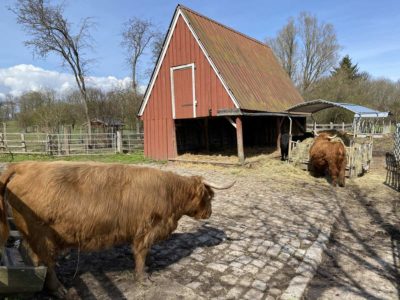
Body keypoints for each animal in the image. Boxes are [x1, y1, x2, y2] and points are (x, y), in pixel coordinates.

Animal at [0, 162, 234, 296]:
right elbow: (141, 254)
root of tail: (25, 165)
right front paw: (142, 278)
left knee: (34, 259)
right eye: (209, 196)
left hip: (34, 235)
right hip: (42, 236)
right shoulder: (146, 230)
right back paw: (58, 289)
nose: (209, 213)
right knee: (46, 262)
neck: (170, 193)